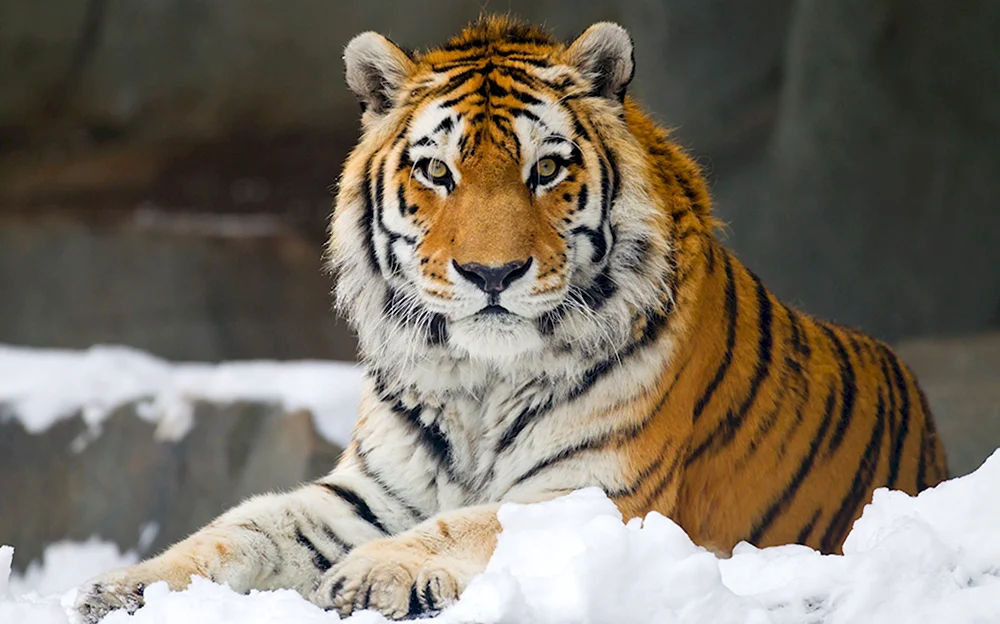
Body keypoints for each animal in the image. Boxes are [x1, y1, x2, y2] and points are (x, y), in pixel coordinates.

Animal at [75, 15, 948, 622]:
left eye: (547, 169)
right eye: (436, 171)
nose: (491, 274)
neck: (480, 380)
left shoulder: (600, 494)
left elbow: (467, 523)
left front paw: (369, 575)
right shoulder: (367, 492)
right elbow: (242, 527)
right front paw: (123, 588)